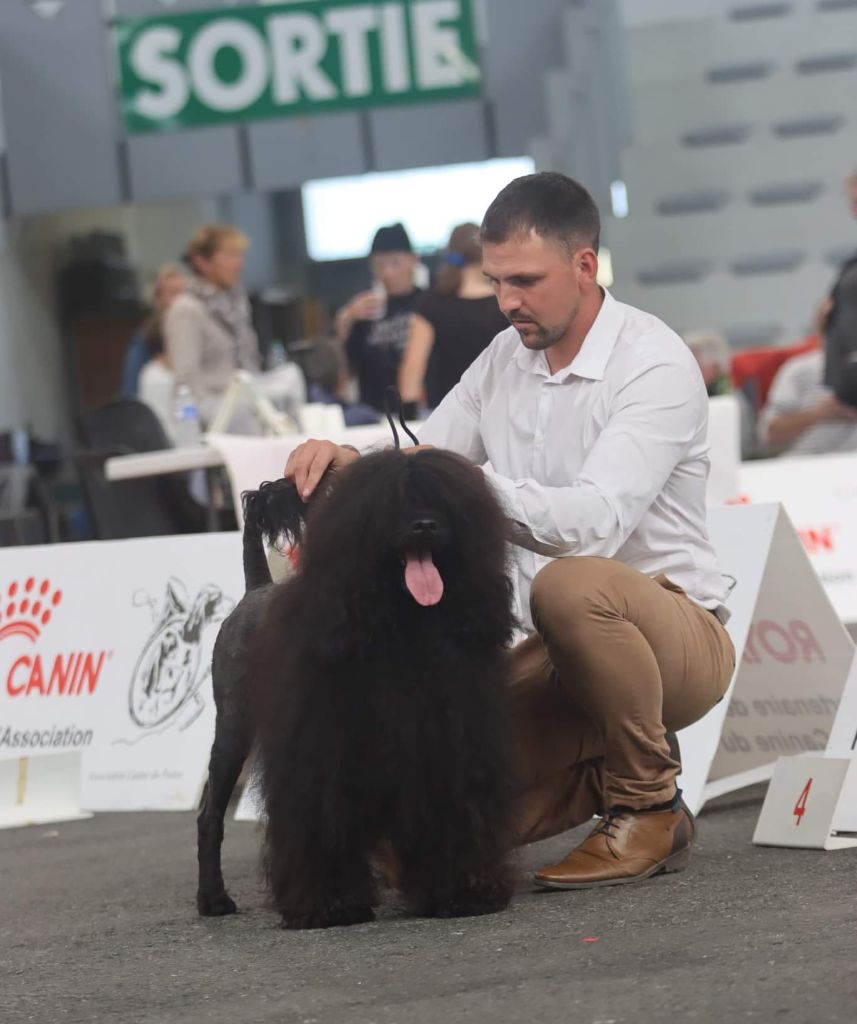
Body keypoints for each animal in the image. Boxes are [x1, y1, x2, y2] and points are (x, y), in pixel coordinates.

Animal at [196, 448, 517, 928]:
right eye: (389, 503)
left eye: (441, 500)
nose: (425, 524)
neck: (399, 625)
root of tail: (257, 588)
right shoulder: (320, 756)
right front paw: (329, 904)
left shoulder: (442, 748)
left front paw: (461, 893)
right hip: (233, 727)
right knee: (210, 814)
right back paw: (212, 899)